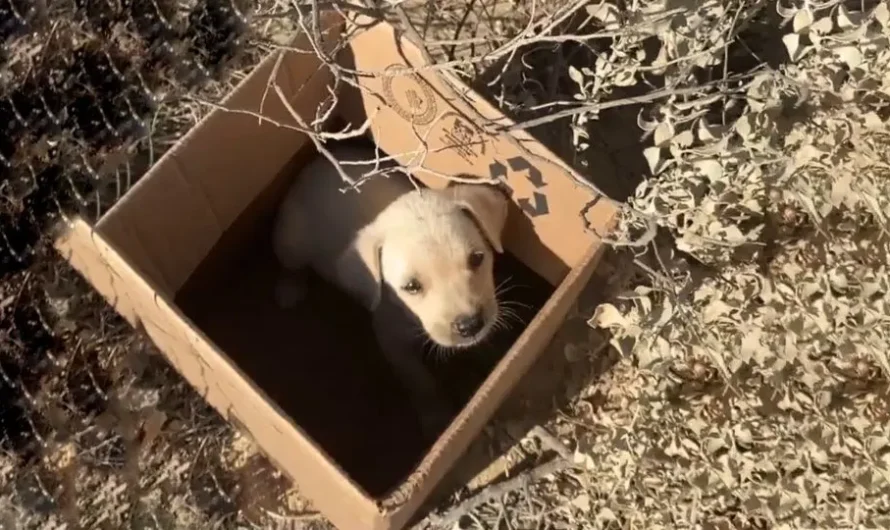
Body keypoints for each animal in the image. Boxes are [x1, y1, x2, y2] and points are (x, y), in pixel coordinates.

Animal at [270, 142, 506, 440]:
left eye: (477, 259)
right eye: (411, 287)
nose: (470, 325)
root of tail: (310, 169)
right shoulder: (392, 341)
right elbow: (421, 383)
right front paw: (436, 418)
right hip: (290, 241)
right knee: (291, 265)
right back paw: (290, 289)